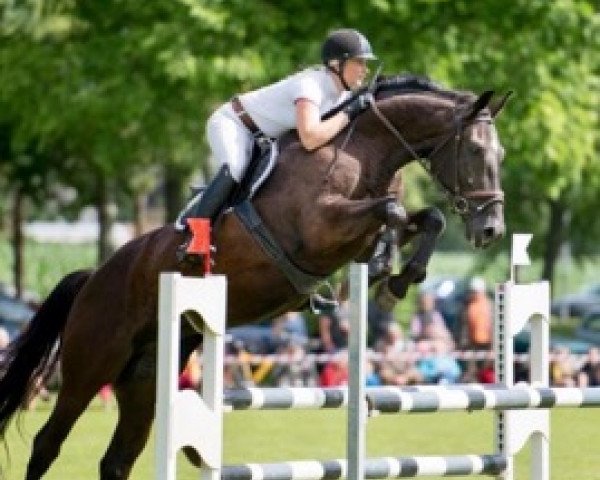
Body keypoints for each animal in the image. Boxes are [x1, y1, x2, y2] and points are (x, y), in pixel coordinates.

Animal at [0, 73, 508, 478]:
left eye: (500, 153)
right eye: (475, 150)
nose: (491, 229)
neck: (365, 149)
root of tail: (93, 278)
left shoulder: (357, 233)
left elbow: (423, 218)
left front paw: (395, 279)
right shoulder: (322, 230)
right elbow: (393, 210)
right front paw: (386, 273)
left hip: (145, 379)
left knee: (118, 459)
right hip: (91, 366)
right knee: (48, 442)